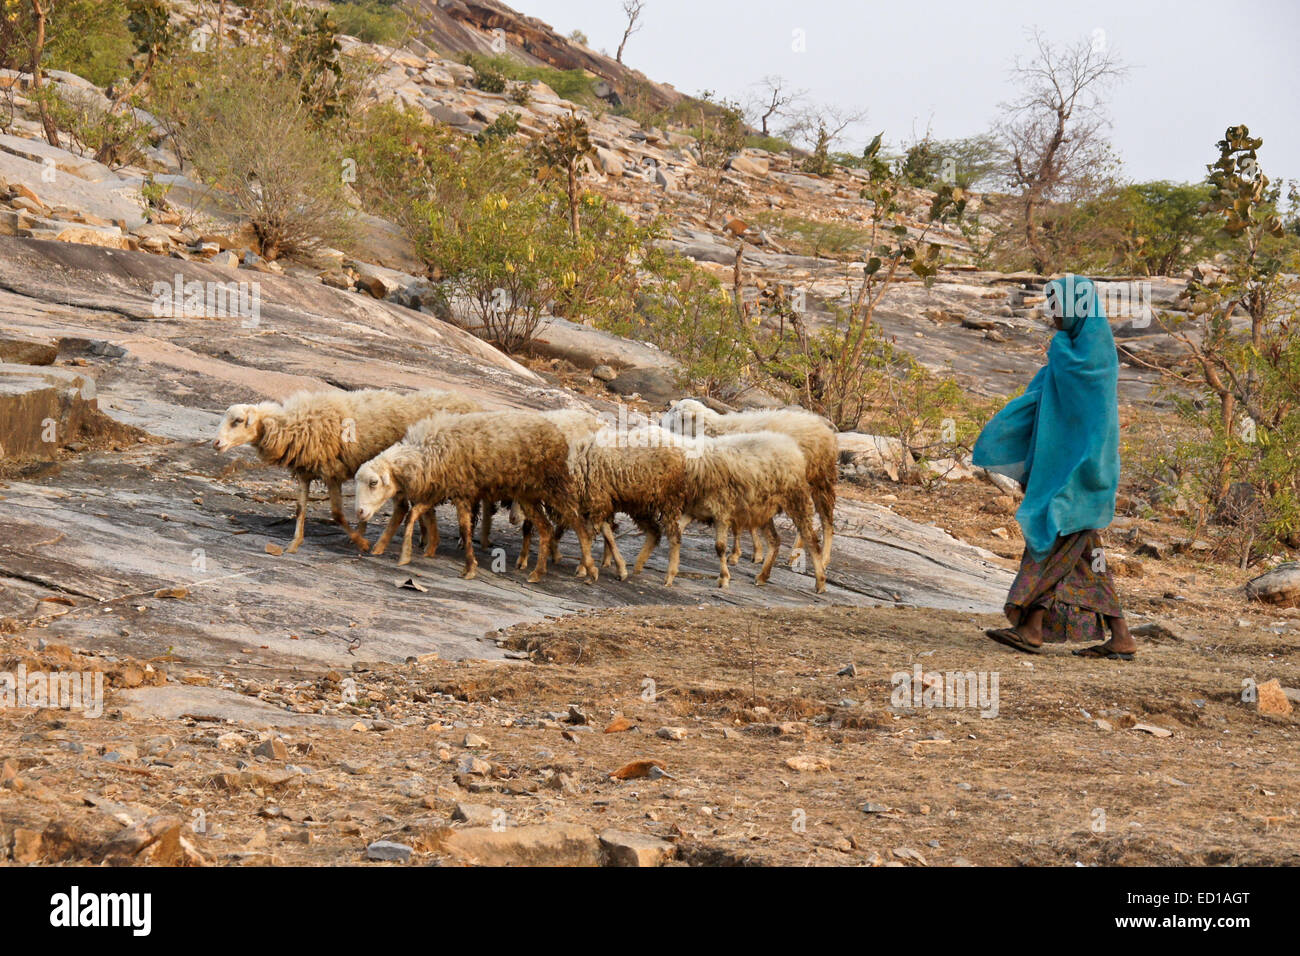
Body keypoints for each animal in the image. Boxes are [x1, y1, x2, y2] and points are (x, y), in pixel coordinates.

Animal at [215, 390, 486, 554]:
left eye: (237, 421)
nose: (216, 443)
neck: (296, 424)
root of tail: (470, 402)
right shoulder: (305, 471)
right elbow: (300, 509)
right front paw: (295, 543)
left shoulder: (331, 472)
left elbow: (336, 513)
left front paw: (361, 541)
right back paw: (423, 538)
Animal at [353, 411, 587, 582]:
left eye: (373, 482)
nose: (359, 512)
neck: (423, 453)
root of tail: (555, 430)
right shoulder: (438, 490)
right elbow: (415, 514)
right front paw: (407, 554)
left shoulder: (462, 492)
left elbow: (465, 529)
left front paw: (469, 567)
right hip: (528, 496)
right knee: (546, 528)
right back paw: (538, 573)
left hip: (555, 487)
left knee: (577, 521)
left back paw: (587, 567)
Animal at [569, 424, 691, 587]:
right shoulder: (598, 504)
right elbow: (605, 533)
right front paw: (616, 568)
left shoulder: (597, 501)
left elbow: (589, 536)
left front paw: (585, 568)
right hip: (641, 504)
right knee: (655, 531)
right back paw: (638, 566)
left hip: (670, 499)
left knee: (674, 535)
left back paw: (669, 576)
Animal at [665, 395, 837, 567]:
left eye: (677, 413)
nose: (661, 422)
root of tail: (822, 425)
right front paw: (756, 552)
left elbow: (740, 526)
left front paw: (736, 554)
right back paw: (795, 554)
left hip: (821, 478)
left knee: (826, 520)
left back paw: (824, 558)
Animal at [676, 431, 826, 590]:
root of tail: (791, 446)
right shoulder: (693, 510)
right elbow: (677, 533)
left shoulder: (722, 512)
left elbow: (720, 546)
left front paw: (724, 578)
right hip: (764, 508)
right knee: (775, 540)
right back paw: (762, 576)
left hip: (796, 500)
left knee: (810, 538)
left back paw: (820, 582)